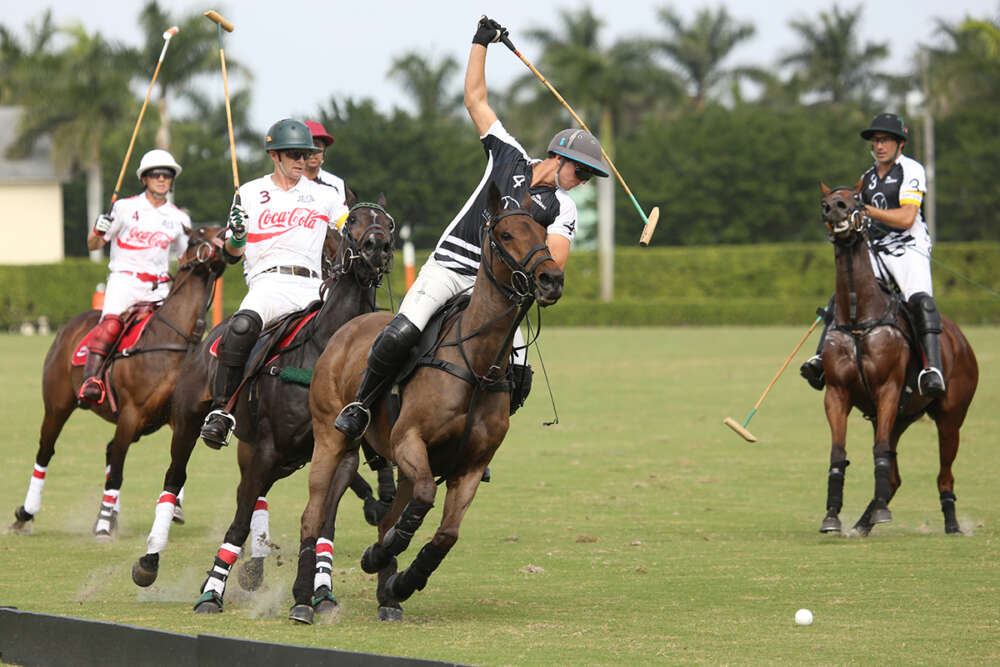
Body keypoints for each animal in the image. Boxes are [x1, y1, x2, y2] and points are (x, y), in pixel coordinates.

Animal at [8, 227, 227, 540]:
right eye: (197, 236)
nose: (230, 234)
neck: (177, 342)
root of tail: (71, 324)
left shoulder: (178, 416)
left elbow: (175, 461)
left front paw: (173, 507)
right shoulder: (131, 413)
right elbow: (120, 471)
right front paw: (102, 524)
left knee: (111, 451)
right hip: (58, 405)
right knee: (47, 452)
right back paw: (27, 514)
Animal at [132, 196, 394, 596]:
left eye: (390, 222)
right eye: (353, 222)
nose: (378, 245)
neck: (326, 349)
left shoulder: (338, 452)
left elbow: (323, 522)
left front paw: (321, 589)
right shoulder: (270, 447)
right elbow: (240, 521)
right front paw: (213, 589)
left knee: (250, 494)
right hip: (190, 423)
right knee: (175, 477)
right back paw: (150, 558)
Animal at [292, 181, 568, 620]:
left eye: (544, 235)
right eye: (506, 234)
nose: (551, 278)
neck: (476, 366)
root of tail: (345, 328)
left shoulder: (471, 466)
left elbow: (446, 533)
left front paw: (403, 581)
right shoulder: (410, 441)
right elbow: (422, 500)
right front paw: (380, 555)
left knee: (388, 515)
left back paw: (388, 598)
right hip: (331, 438)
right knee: (313, 514)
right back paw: (302, 601)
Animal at [820, 184, 976, 536]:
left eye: (856, 198)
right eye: (824, 202)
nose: (835, 208)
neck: (858, 317)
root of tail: (960, 338)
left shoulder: (888, 390)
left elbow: (878, 451)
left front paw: (877, 514)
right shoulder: (837, 393)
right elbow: (838, 452)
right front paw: (832, 515)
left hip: (950, 417)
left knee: (945, 474)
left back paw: (951, 524)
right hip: (899, 418)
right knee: (894, 476)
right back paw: (863, 523)